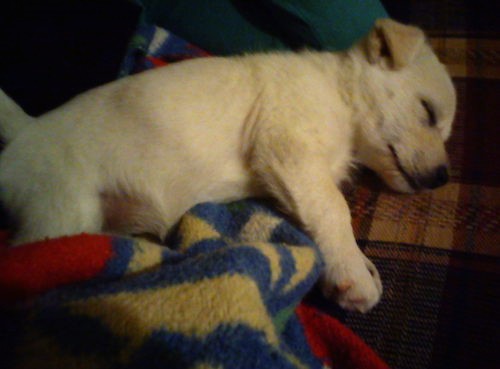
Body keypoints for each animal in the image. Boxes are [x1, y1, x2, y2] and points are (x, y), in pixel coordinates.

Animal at [0, 19, 456, 310]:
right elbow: (334, 209)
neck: (340, 95)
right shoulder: (290, 148)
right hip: (61, 212)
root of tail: (24, 132)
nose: (442, 178)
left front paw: (360, 265)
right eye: (427, 112)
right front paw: (353, 272)